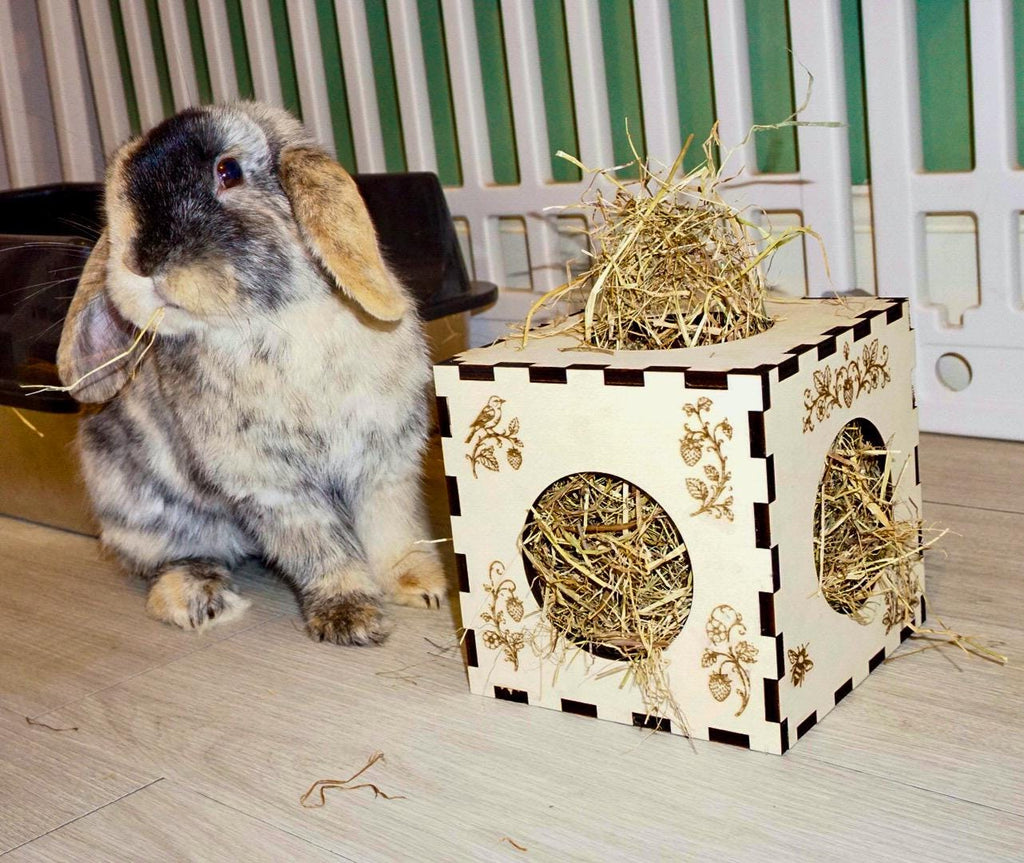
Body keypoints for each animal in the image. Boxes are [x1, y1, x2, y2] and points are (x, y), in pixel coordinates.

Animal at [56, 102, 447, 645]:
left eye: (229, 171)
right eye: (117, 189)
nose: (140, 263)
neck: (271, 321)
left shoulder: (385, 464)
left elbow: (393, 530)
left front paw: (424, 590)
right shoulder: (271, 486)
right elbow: (321, 549)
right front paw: (351, 620)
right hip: (145, 515)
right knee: (173, 561)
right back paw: (196, 602)